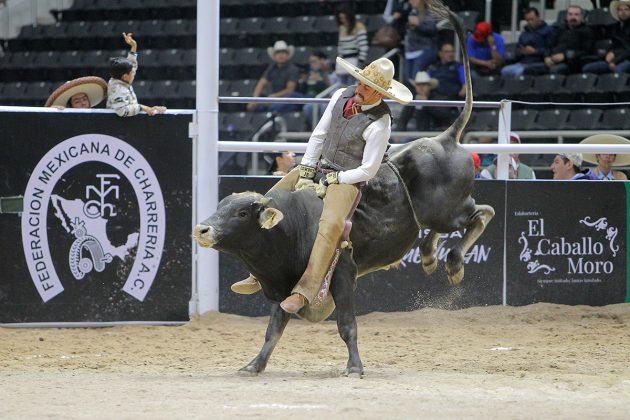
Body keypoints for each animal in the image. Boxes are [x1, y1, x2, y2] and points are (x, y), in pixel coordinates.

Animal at [193, 2, 494, 378]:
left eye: (243, 212)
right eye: (221, 204)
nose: (202, 229)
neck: (290, 230)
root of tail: (445, 137)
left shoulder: (343, 274)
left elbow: (346, 324)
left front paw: (354, 366)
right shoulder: (286, 286)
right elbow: (274, 327)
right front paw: (254, 365)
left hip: (450, 210)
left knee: (482, 213)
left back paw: (453, 263)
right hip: (437, 215)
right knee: (439, 229)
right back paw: (427, 255)